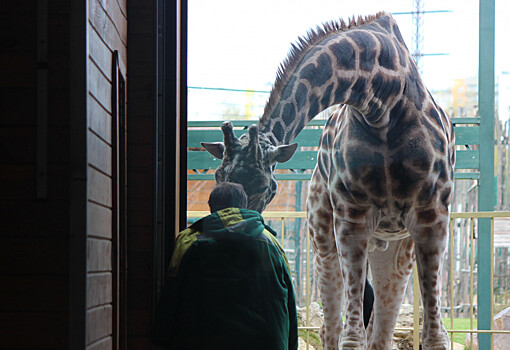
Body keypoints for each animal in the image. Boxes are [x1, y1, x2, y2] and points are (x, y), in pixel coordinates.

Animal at [201, 11, 452, 350]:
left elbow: (434, 336)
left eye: (267, 187)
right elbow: (350, 335)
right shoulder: (351, 215)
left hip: (398, 246)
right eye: (218, 176)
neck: (383, 101)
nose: (234, 247)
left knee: (380, 330)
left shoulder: (431, 215)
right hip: (322, 232)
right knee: (333, 327)